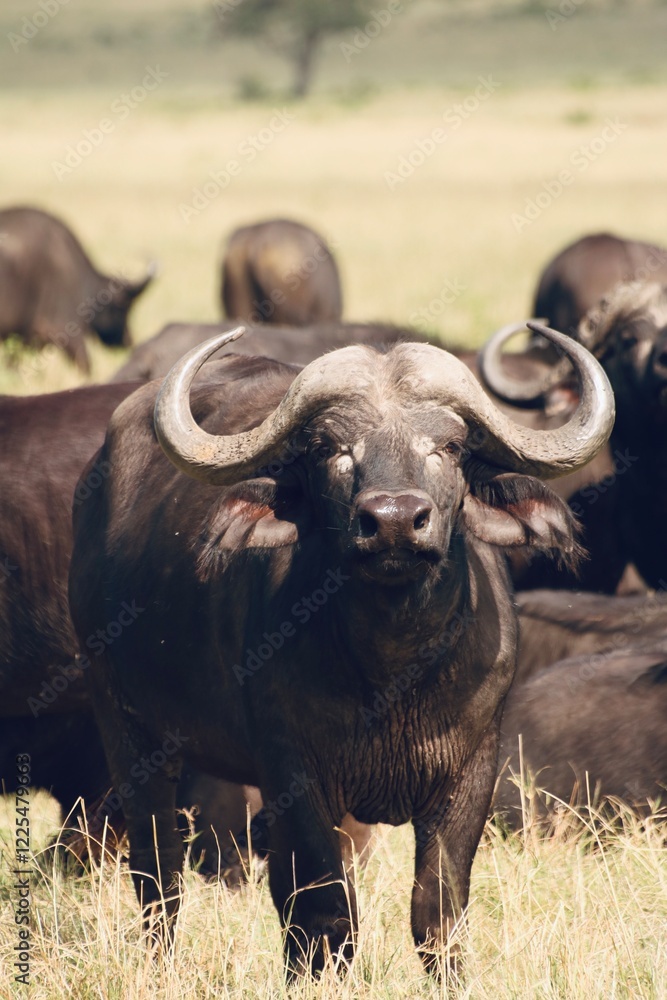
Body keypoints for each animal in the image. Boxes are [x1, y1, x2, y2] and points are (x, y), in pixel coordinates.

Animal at [68, 324, 612, 976]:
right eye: (330, 447)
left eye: (451, 447)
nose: (396, 520)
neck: (392, 671)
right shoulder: (293, 773)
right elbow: (325, 910)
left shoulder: (471, 769)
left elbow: (438, 909)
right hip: (124, 724)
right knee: (159, 868)